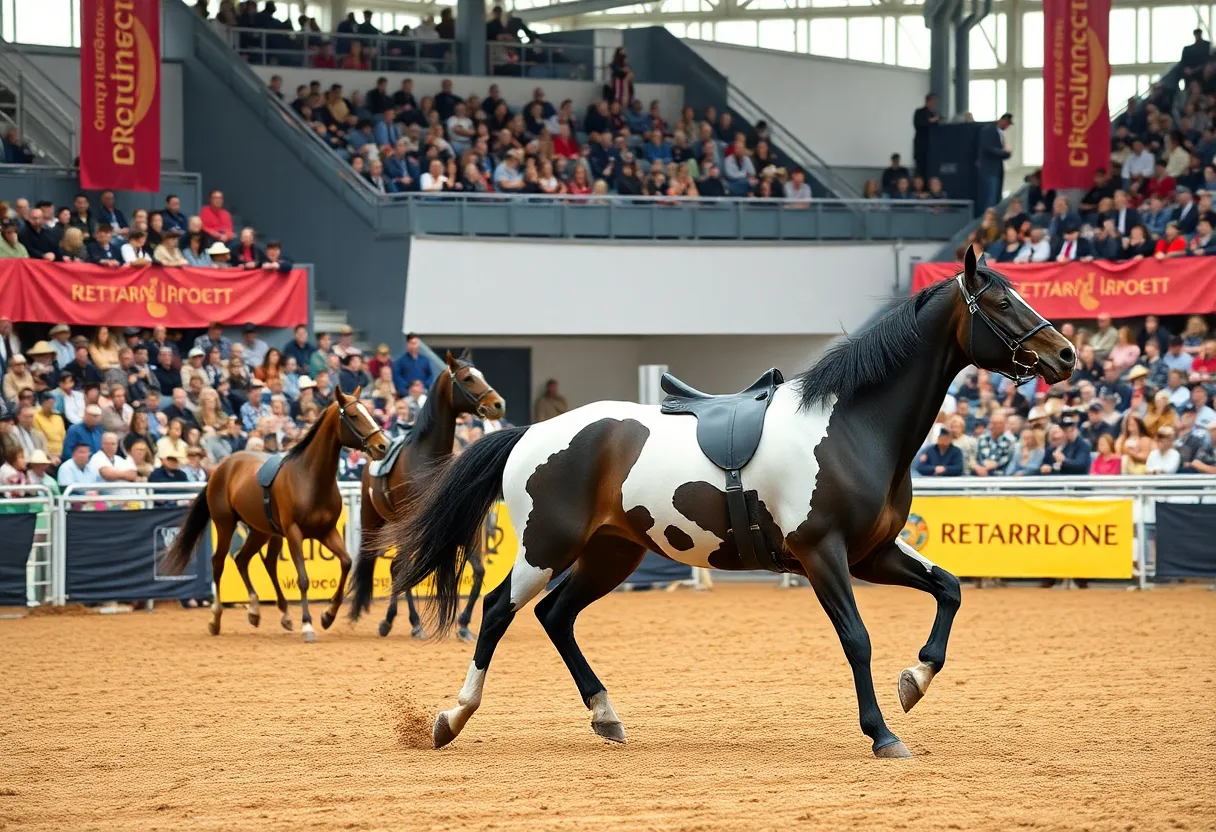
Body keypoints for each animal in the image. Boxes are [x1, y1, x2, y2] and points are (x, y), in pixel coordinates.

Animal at [162, 386, 390, 642]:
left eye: (368, 412)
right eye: (353, 416)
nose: (383, 446)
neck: (310, 478)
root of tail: (222, 468)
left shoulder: (327, 532)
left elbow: (346, 562)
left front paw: (328, 615)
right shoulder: (294, 533)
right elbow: (303, 578)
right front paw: (308, 625)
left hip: (261, 531)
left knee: (247, 560)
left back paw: (260, 611)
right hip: (225, 524)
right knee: (219, 563)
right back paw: (216, 619)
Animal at [346, 351, 505, 640]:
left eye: (481, 375)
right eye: (467, 378)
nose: (498, 404)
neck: (427, 461)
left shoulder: (467, 528)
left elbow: (478, 571)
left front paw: (464, 624)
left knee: (398, 568)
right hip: (376, 520)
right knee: (397, 567)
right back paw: (406, 622)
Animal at [381, 248, 1074, 756]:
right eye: (1001, 301)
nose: (1065, 353)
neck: (852, 423)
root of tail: (530, 432)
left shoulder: (871, 552)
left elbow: (949, 588)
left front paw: (916, 680)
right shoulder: (823, 555)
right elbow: (857, 637)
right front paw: (882, 733)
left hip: (611, 555)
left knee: (556, 615)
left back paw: (606, 716)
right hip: (545, 548)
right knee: (498, 610)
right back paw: (451, 718)